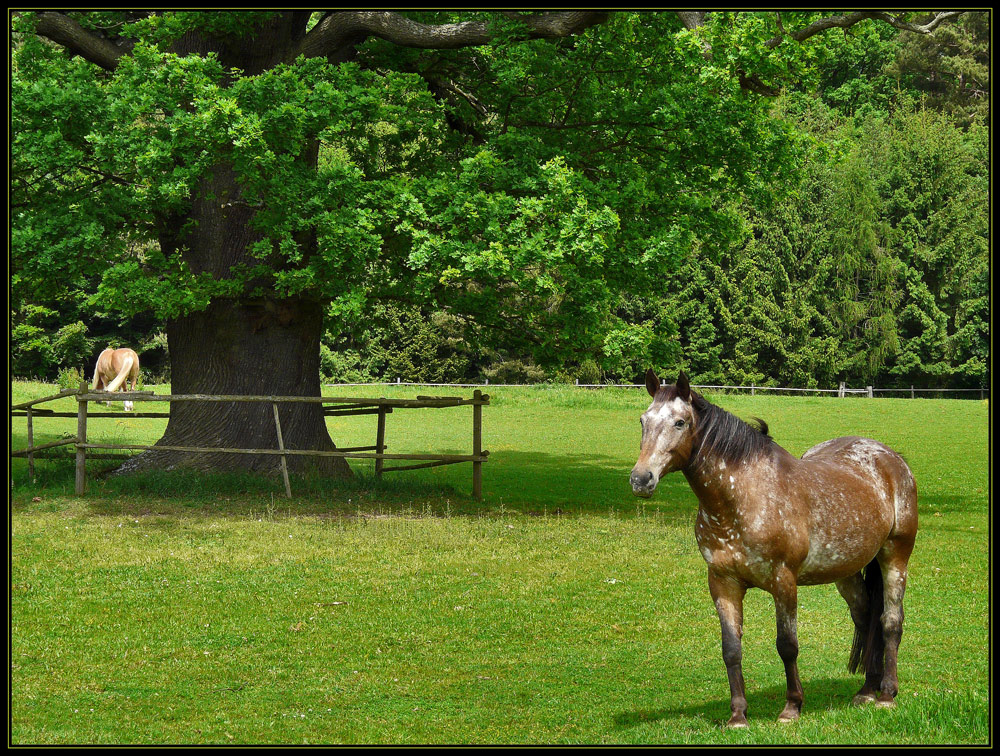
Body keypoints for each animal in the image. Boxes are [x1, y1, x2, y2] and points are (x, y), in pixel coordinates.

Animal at [628, 370, 916, 728]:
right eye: (643, 420)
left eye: (679, 423)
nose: (641, 479)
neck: (744, 497)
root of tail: (890, 457)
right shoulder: (722, 583)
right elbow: (731, 649)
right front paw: (738, 714)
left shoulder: (783, 581)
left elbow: (787, 645)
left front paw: (792, 707)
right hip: (845, 570)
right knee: (865, 619)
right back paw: (866, 690)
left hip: (895, 557)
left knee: (890, 621)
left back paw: (887, 693)